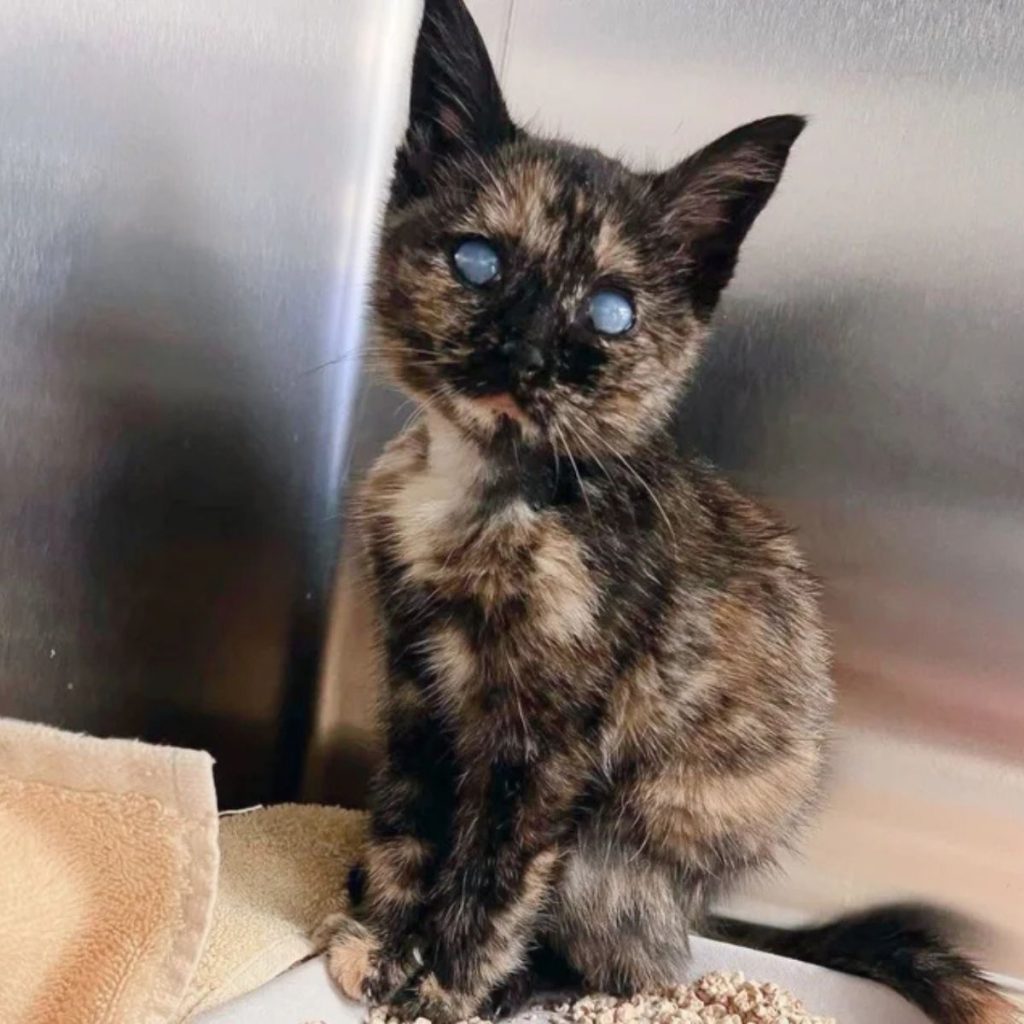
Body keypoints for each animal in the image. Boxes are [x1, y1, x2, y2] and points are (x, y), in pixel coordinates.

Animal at [319, 2, 1015, 1024]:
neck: (487, 495)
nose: (526, 354)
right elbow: (411, 816)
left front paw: (444, 985)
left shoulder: (547, 744)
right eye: (477, 261)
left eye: (611, 312)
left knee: (640, 964)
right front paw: (383, 943)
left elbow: (492, 872)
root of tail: (700, 902)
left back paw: (526, 986)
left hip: (611, 844)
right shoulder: (414, 686)